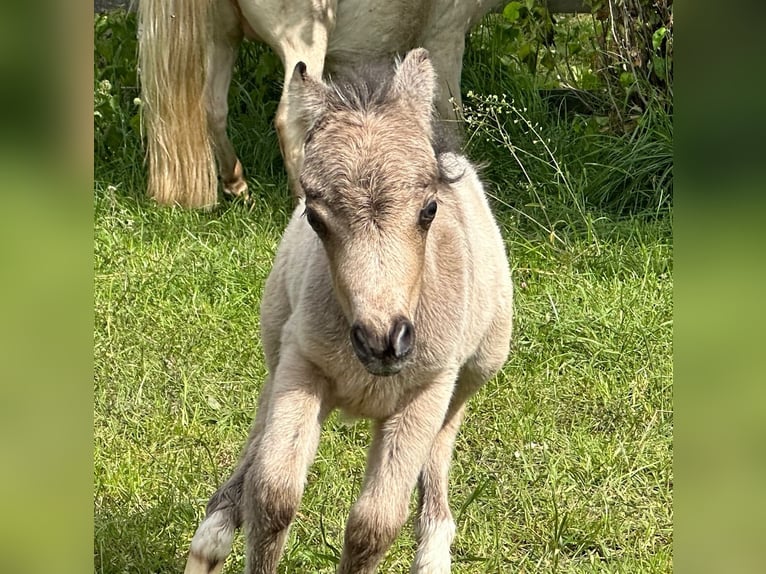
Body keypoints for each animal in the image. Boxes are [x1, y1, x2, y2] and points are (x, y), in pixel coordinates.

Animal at [138, 0, 504, 207]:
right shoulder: (445, 38)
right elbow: (450, 116)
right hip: (302, 41)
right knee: (288, 119)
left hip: (221, 35)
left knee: (212, 108)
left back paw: (237, 186)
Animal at [183, 50, 512, 574]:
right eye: (314, 217)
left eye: (429, 210)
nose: (382, 341)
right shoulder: (302, 364)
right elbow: (273, 494)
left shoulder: (428, 389)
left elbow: (373, 523)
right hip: (277, 350)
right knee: (258, 438)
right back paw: (212, 536)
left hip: (476, 370)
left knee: (440, 450)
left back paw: (434, 552)